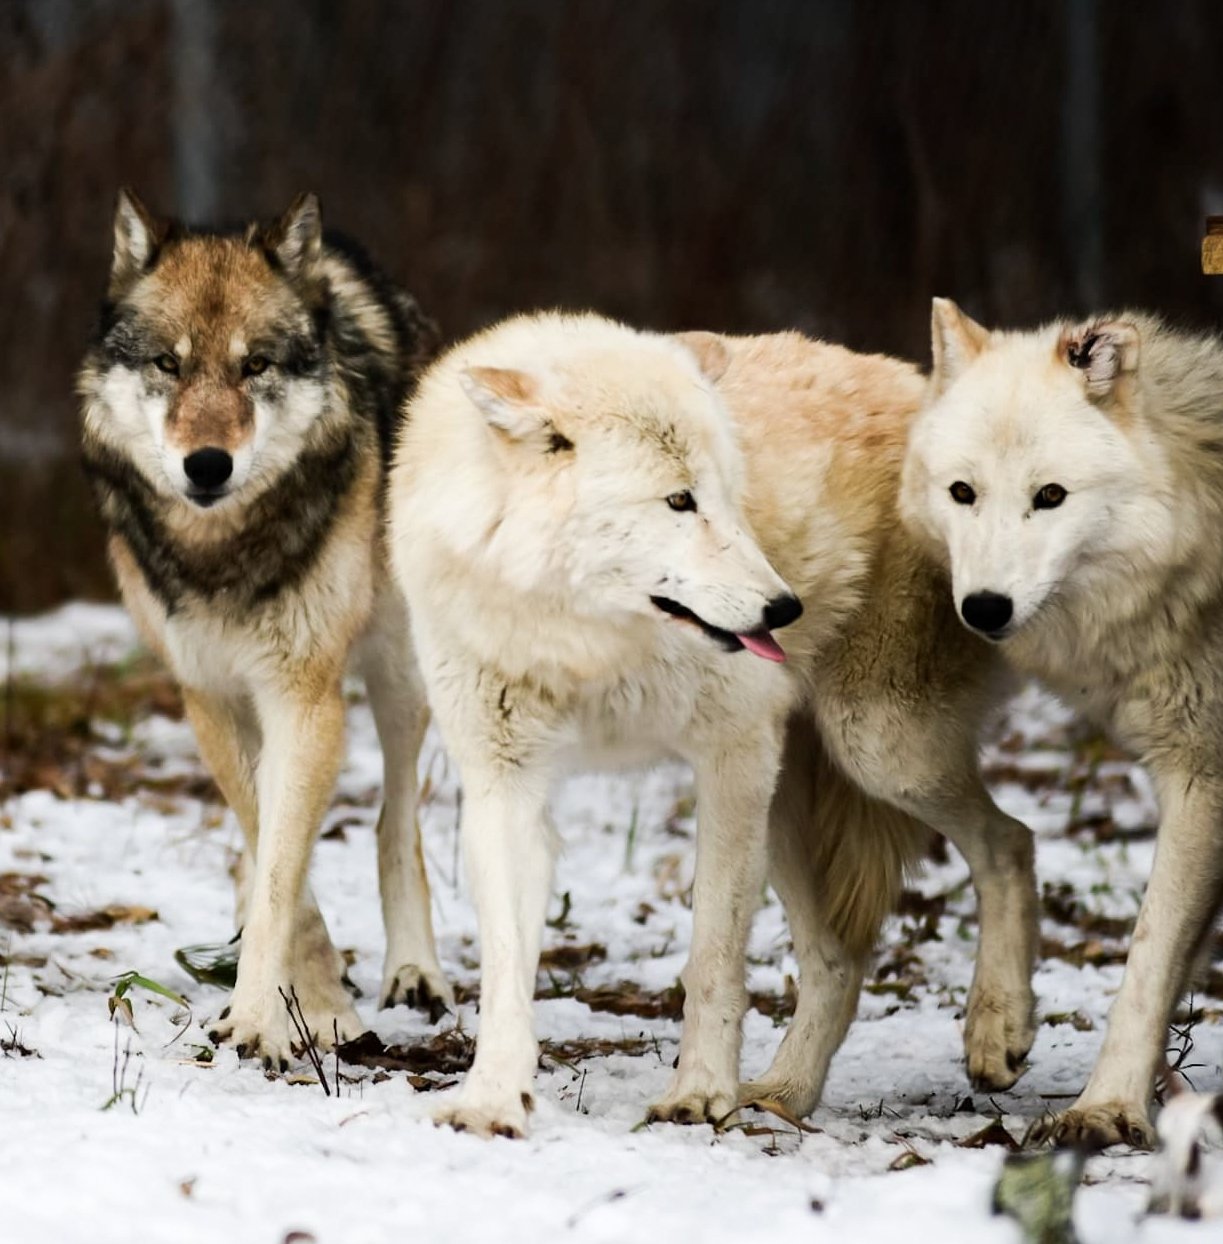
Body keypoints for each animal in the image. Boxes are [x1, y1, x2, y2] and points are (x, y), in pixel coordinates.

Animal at [393, 313, 1040, 1139]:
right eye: (678, 500)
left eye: (730, 497)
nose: (784, 609)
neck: (586, 640)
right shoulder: (502, 783)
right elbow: (505, 967)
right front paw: (491, 1100)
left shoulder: (730, 756)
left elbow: (713, 956)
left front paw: (698, 1093)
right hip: (795, 804)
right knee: (839, 957)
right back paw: (784, 1093)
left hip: (876, 750)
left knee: (1009, 842)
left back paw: (995, 1029)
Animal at [900, 298, 1223, 1144]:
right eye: (962, 492)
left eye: (1050, 496)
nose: (983, 609)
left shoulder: (1201, 780)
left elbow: (1145, 957)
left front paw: (1103, 1109)